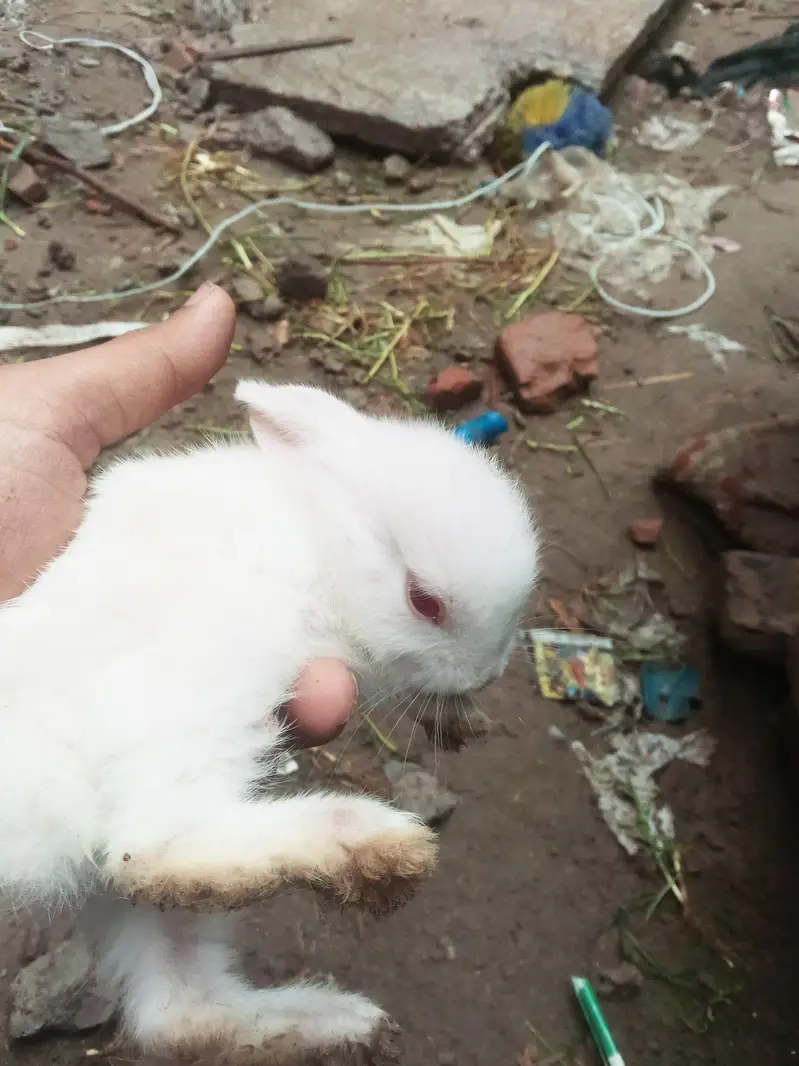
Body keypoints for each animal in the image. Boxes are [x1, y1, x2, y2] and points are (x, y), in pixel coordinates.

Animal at [0, 381, 538, 1062]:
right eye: (424, 601)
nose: (486, 674)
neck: (322, 543)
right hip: (202, 693)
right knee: (155, 848)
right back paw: (372, 848)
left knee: (179, 1013)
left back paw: (337, 1024)